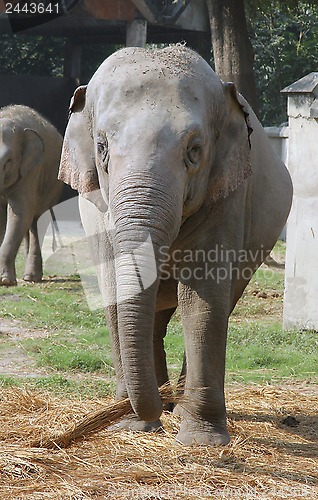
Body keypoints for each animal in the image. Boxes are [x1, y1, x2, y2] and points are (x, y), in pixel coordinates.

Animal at [0, 104, 63, 286]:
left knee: (36, 221)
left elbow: (20, 213)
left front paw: (4, 281)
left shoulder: (31, 170)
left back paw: (31, 277)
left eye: (9, 161)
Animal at [58, 46, 292, 446]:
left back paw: (176, 406)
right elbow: (115, 289)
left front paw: (200, 440)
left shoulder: (227, 197)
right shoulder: (99, 212)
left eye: (194, 150)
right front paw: (131, 426)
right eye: (102, 147)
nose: (152, 404)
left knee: (218, 303)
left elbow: (201, 299)